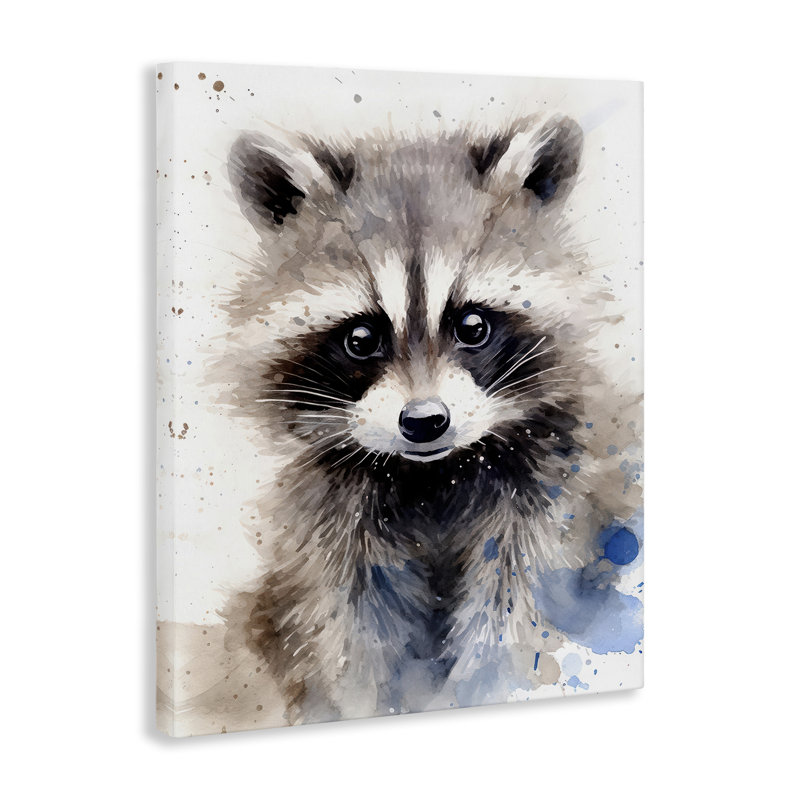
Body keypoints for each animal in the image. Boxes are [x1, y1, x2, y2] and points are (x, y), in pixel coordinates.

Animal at [219, 115, 643, 723]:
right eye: (361, 338)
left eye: (473, 326)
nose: (424, 421)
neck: (434, 475)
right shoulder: (334, 523)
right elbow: (352, 633)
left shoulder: (553, 488)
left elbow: (515, 613)